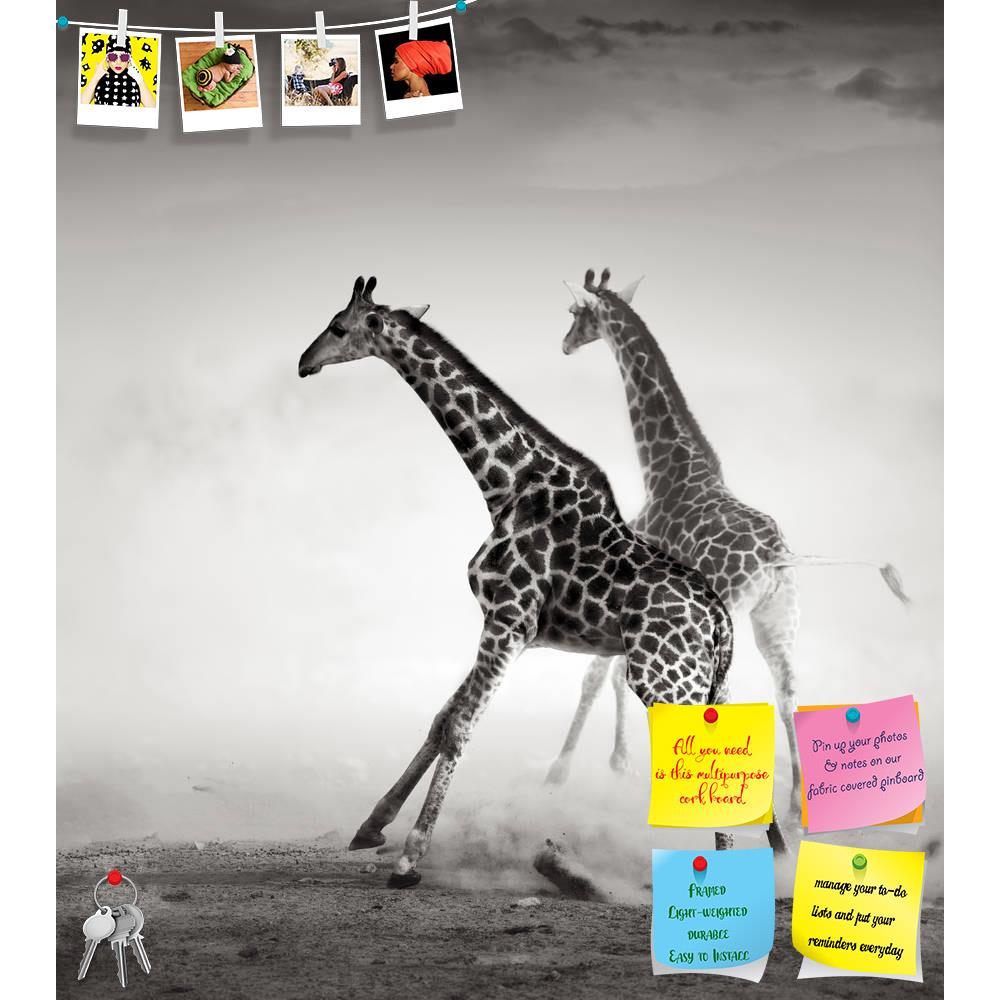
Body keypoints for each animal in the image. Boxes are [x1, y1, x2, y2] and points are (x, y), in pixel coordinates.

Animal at [298, 276, 783, 888]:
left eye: (339, 327)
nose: (303, 363)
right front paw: (371, 827)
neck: (505, 484)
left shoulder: (508, 620)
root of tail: (719, 620)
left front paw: (410, 859)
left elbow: (459, 727)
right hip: (707, 682)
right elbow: (439, 720)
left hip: (665, 681)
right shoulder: (507, 627)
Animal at [549, 267, 910, 816]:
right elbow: (614, 677)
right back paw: (795, 807)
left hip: (734, 614)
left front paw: (563, 771)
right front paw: (621, 762)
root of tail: (778, 556)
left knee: (722, 695)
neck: (666, 471)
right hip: (778, 621)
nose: (566, 344)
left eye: (575, 313)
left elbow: (597, 676)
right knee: (788, 694)